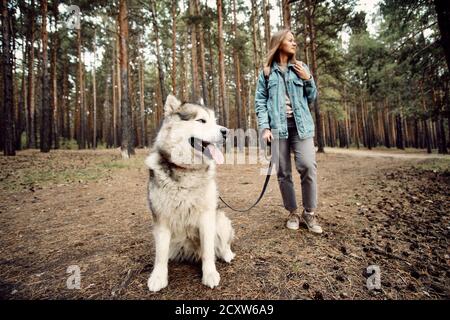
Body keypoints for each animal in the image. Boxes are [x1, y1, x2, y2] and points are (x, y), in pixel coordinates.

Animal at [145, 94, 236, 292]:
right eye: (201, 121)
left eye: (215, 121)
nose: (226, 131)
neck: (187, 171)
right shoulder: (161, 219)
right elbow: (160, 254)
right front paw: (158, 277)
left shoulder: (207, 217)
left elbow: (209, 251)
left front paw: (209, 274)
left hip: (221, 220)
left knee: (223, 244)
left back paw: (227, 254)